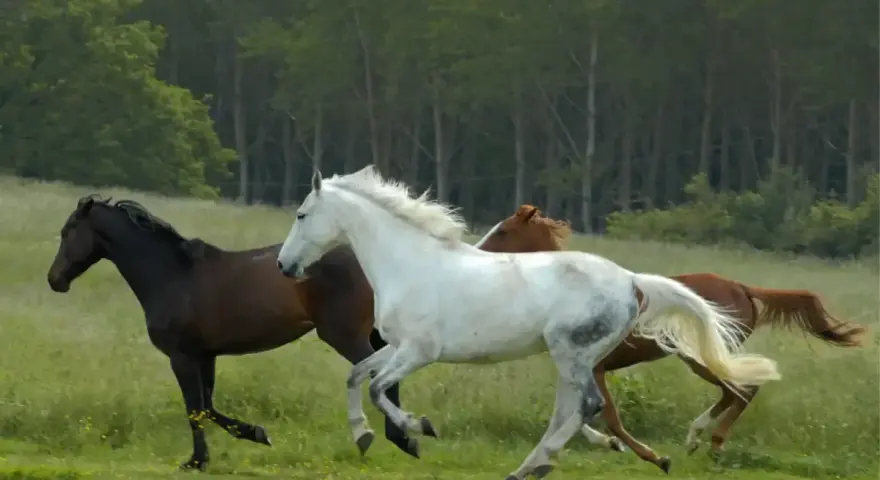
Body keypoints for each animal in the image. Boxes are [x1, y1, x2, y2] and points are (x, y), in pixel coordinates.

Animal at [45, 194, 422, 470]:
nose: (55, 279)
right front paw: (257, 433)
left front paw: (197, 461)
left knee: (376, 376)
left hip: (345, 335)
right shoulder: (205, 355)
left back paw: (398, 437)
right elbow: (208, 407)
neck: (172, 276)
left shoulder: (182, 356)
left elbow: (194, 409)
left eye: (67, 231)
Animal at [275, 165, 781, 480]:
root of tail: (632, 281)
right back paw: (528, 467)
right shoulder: (395, 347)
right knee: (572, 410)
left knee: (588, 406)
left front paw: (422, 429)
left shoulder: (419, 352)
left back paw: (542, 463)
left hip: (571, 353)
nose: (284, 266)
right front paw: (363, 437)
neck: (410, 264)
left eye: (301, 214)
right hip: (573, 359)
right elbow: (356, 377)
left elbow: (379, 389)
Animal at [475, 204, 868, 472]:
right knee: (736, 391)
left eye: (504, 231)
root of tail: (743, 287)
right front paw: (608, 444)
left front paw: (650, 456)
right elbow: (585, 416)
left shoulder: (595, 368)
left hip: (698, 357)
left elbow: (607, 415)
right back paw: (697, 437)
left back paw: (711, 441)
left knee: (742, 390)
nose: (477, 251)